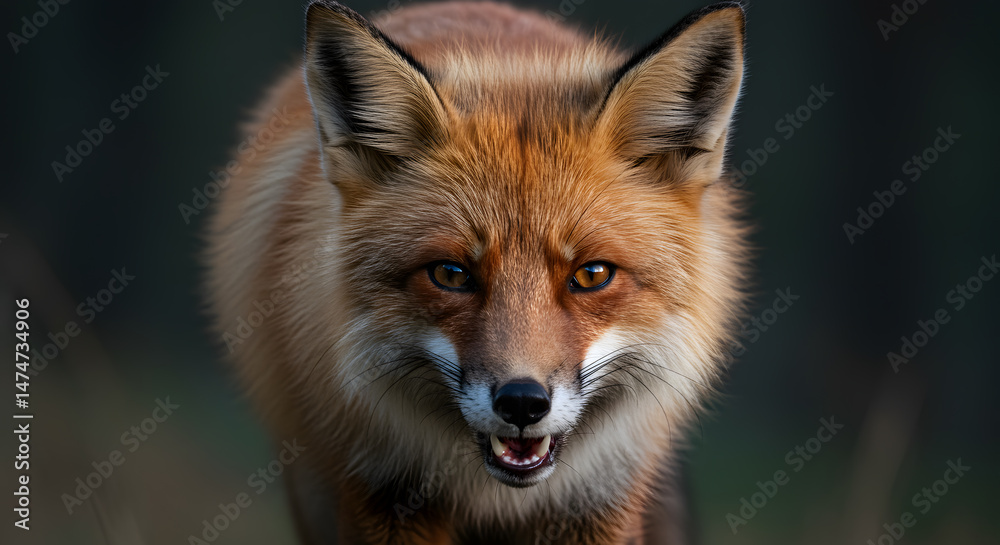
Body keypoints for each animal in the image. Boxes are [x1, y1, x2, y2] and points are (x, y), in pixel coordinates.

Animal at [204, 1, 749, 543]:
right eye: (450, 274)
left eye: (592, 274)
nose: (522, 403)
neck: (493, 497)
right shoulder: (385, 493)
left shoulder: (599, 497)